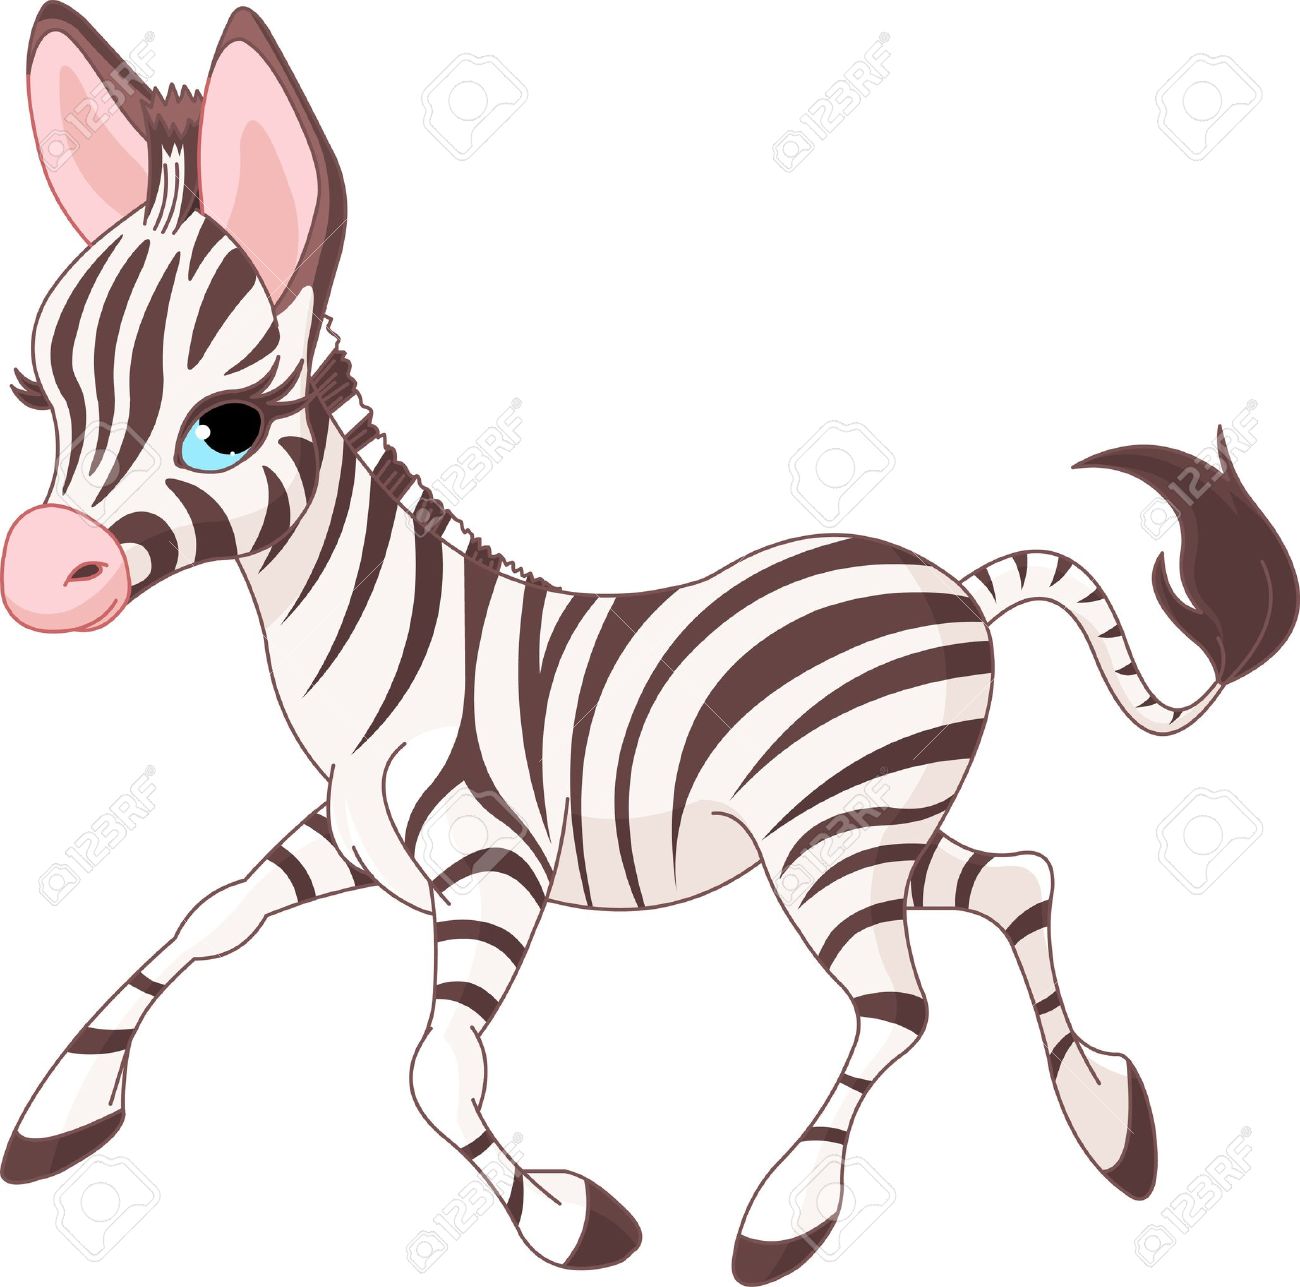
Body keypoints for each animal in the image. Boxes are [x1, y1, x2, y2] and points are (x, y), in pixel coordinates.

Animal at [2, 6, 1295, 1282]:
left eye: (226, 430)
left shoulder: (492, 868)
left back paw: (788, 1211)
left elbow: (437, 1070)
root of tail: (955, 587)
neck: (377, 669)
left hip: (833, 839)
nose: (34, 578)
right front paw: (60, 1109)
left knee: (898, 1003)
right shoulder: (352, 843)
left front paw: (569, 1220)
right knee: (1017, 879)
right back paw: (1106, 1119)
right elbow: (204, 920)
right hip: (870, 832)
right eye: (35, 398)